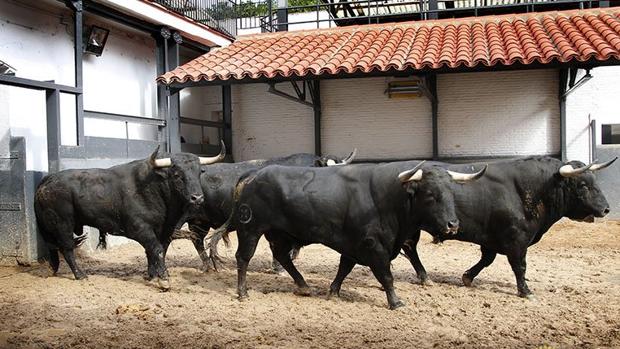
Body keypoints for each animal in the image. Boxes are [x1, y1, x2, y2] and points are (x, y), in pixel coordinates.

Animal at [32, 145, 224, 288]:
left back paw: (55, 269)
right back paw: (80, 275)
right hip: (62, 223)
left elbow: (155, 251)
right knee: (67, 248)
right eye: (177, 175)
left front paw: (152, 275)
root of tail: (48, 179)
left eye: (199, 172)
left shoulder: (163, 231)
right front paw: (163, 279)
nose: (197, 198)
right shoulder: (141, 228)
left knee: (53, 246)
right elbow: (157, 250)